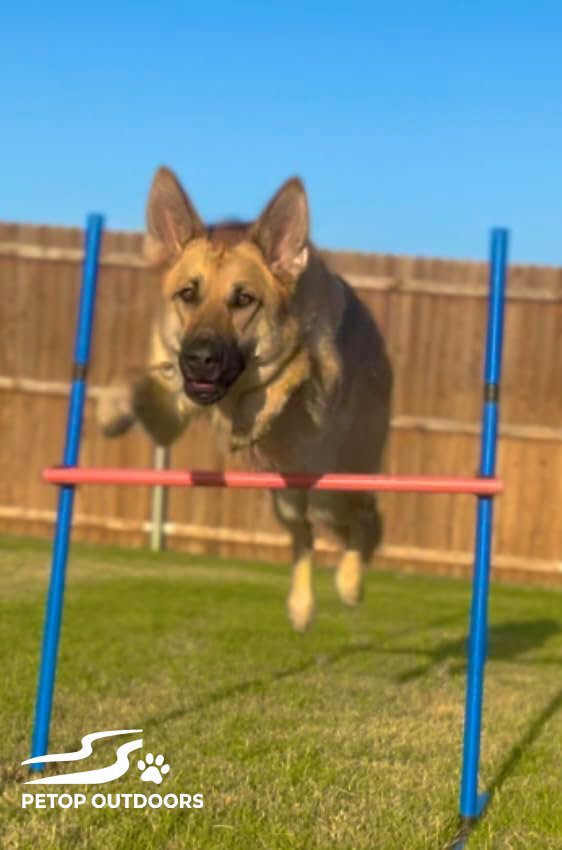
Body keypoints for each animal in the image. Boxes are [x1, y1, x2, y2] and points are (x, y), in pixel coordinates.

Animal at [97, 167, 392, 631]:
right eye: (188, 294)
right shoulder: (169, 411)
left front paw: (256, 411)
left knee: (365, 522)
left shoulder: (313, 383)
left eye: (244, 300)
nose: (199, 360)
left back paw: (350, 584)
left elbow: (295, 368)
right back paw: (301, 607)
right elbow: (136, 379)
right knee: (304, 538)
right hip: (289, 498)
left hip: (334, 487)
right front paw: (112, 409)